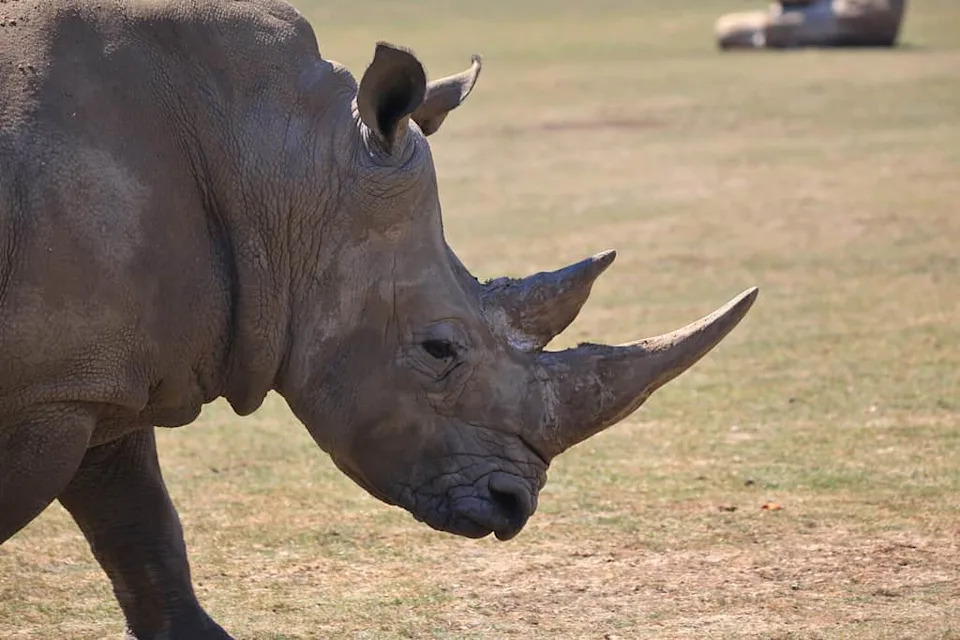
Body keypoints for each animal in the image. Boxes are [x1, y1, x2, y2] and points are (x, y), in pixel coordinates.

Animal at [0, 0, 758, 637]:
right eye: (438, 349)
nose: (513, 505)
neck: (278, 163)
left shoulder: (92, 378)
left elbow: (144, 530)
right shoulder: (54, 391)